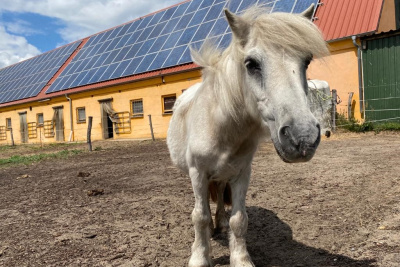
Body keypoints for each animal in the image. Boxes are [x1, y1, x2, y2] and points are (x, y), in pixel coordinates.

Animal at [167, 4, 326, 267]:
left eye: (307, 61)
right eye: (251, 64)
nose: (303, 138)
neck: (221, 128)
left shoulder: (241, 173)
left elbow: (239, 219)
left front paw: (240, 258)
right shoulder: (197, 173)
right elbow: (199, 216)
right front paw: (200, 257)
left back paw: (219, 223)